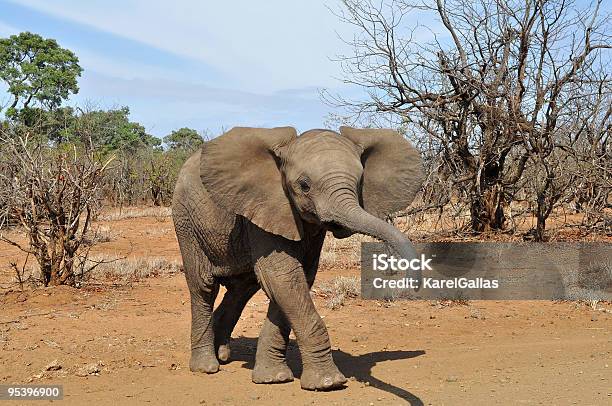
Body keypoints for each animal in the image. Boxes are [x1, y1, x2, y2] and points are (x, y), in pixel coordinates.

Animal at [170, 126, 424, 390]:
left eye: (360, 182)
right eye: (304, 185)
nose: (408, 283)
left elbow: (296, 280)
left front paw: (274, 378)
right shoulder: (266, 207)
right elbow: (282, 276)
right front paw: (328, 383)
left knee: (241, 289)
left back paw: (222, 354)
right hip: (186, 220)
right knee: (204, 286)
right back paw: (206, 366)